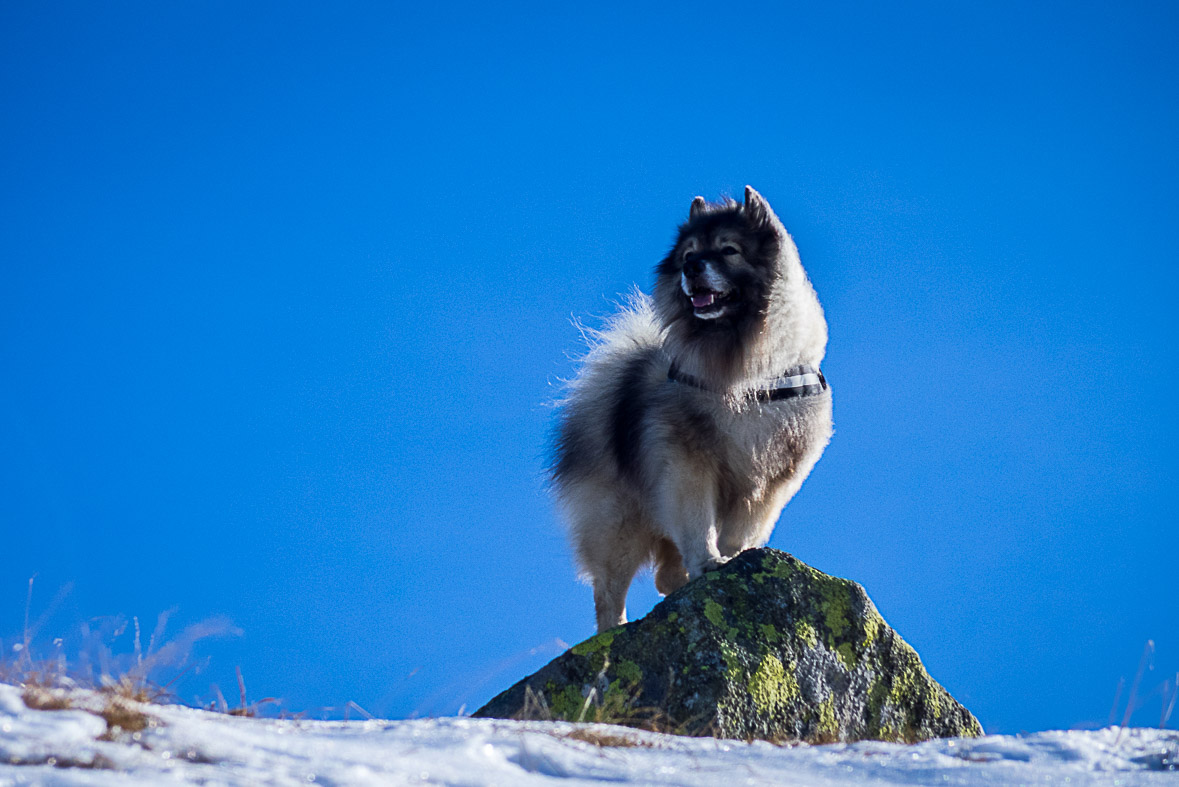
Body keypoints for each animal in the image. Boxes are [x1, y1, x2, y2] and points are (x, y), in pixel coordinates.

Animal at [549, 186, 830, 631]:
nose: (691, 266)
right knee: (609, 589)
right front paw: (709, 562)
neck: (744, 373)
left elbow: (741, 529)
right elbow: (697, 521)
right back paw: (614, 629)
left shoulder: (770, 480)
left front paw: (730, 558)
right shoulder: (688, 463)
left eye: (729, 250)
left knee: (664, 575)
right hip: (619, 521)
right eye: (688, 253)